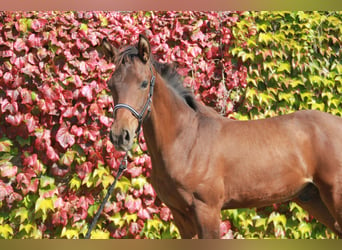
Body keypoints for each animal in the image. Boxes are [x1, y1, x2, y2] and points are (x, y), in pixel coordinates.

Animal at [101, 33, 342, 238]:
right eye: (110, 85)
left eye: (143, 83)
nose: (120, 136)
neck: (187, 142)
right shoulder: (180, 216)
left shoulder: (207, 210)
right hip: (314, 199)